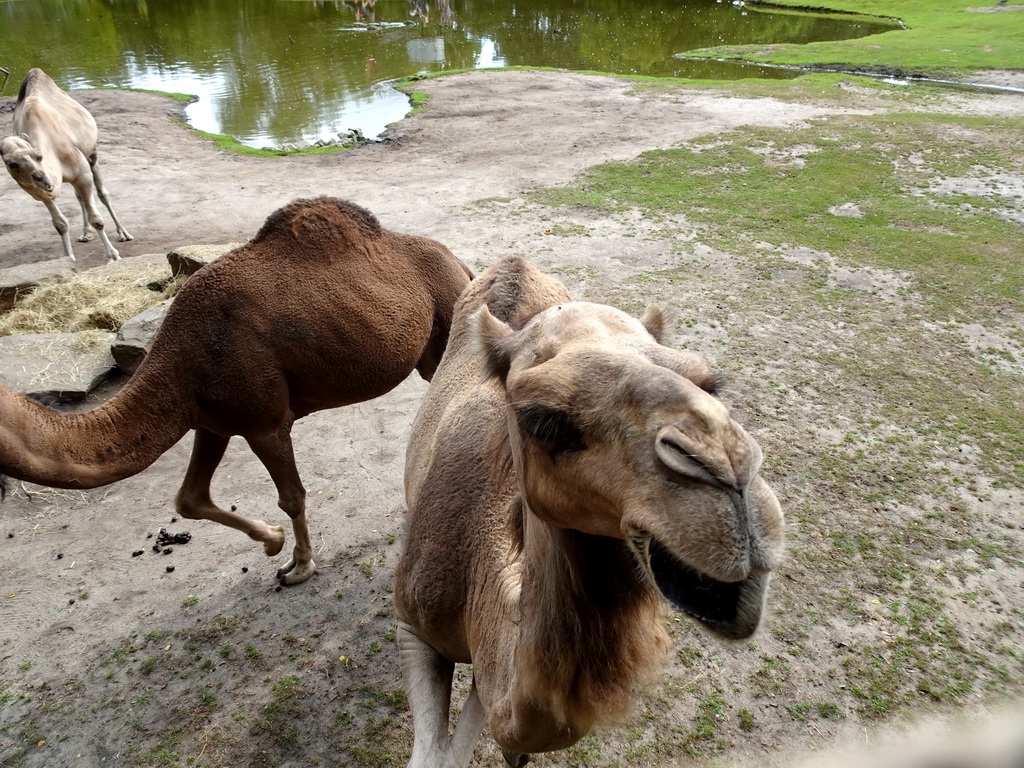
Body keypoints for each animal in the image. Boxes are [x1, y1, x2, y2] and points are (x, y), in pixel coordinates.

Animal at [0, 67, 134, 264]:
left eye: (38, 156)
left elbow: (97, 219)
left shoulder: (82, 175)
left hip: (92, 154)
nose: (43, 180)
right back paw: (86, 234)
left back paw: (123, 233)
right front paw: (68, 259)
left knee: (102, 193)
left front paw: (113, 256)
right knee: (79, 197)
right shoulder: (40, 192)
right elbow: (60, 224)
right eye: (12, 164)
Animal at [0, 195, 471, 585]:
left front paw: (298, 566)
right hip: (427, 349)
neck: (179, 359)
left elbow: (291, 497)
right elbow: (189, 499)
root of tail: (458, 261)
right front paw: (272, 541)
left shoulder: (266, 422)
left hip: (446, 319)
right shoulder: (211, 420)